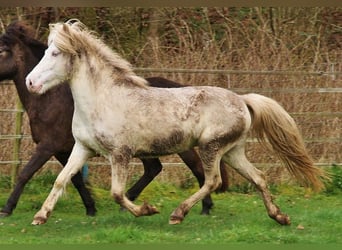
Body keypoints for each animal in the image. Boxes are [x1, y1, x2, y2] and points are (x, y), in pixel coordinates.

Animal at [0, 21, 228, 217]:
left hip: (181, 146)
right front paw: (91, 208)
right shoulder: (66, 149)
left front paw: (7, 208)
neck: (50, 100)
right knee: (154, 169)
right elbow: (73, 179)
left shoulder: (49, 146)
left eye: (2, 51)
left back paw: (204, 207)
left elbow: (25, 173)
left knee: (197, 169)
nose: (31, 82)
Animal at [26, 20, 326, 227]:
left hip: (210, 147)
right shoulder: (83, 148)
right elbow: (61, 179)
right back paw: (280, 217)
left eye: (55, 53)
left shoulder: (120, 154)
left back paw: (178, 214)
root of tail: (242, 100)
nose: (30, 82)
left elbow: (117, 193)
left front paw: (147, 210)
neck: (103, 98)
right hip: (232, 151)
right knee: (258, 177)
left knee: (213, 180)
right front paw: (40, 216)